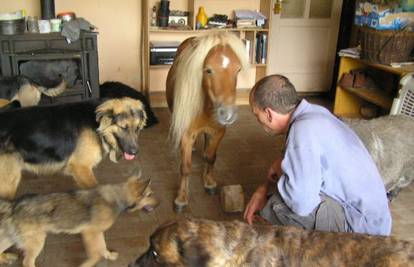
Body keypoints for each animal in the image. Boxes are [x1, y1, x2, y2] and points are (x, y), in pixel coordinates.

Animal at [0, 97, 147, 200]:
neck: (97, 123)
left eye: (137, 128)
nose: (135, 152)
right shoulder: (81, 167)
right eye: (123, 128)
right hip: (8, 182)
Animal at [0, 174, 158, 267]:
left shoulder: (97, 233)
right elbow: (95, 255)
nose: (160, 204)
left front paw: (109, 255)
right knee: (27, 262)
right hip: (37, 242)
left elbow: (102, 247)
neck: (117, 198)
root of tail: (13, 205)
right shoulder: (89, 233)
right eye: (150, 195)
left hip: (10, 238)